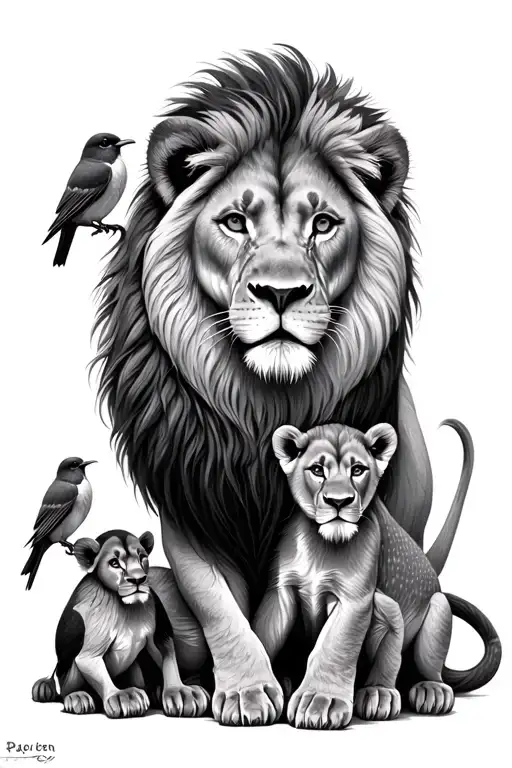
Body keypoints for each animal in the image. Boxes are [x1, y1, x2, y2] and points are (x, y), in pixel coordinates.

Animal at [252, 420, 501, 729]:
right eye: (317, 469)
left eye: (358, 469)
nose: (339, 501)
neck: (319, 545)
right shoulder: (281, 590)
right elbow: (264, 631)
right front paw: (253, 688)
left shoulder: (356, 598)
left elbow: (335, 646)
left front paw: (320, 702)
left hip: (435, 609)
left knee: (419, 662)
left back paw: (402, 692)